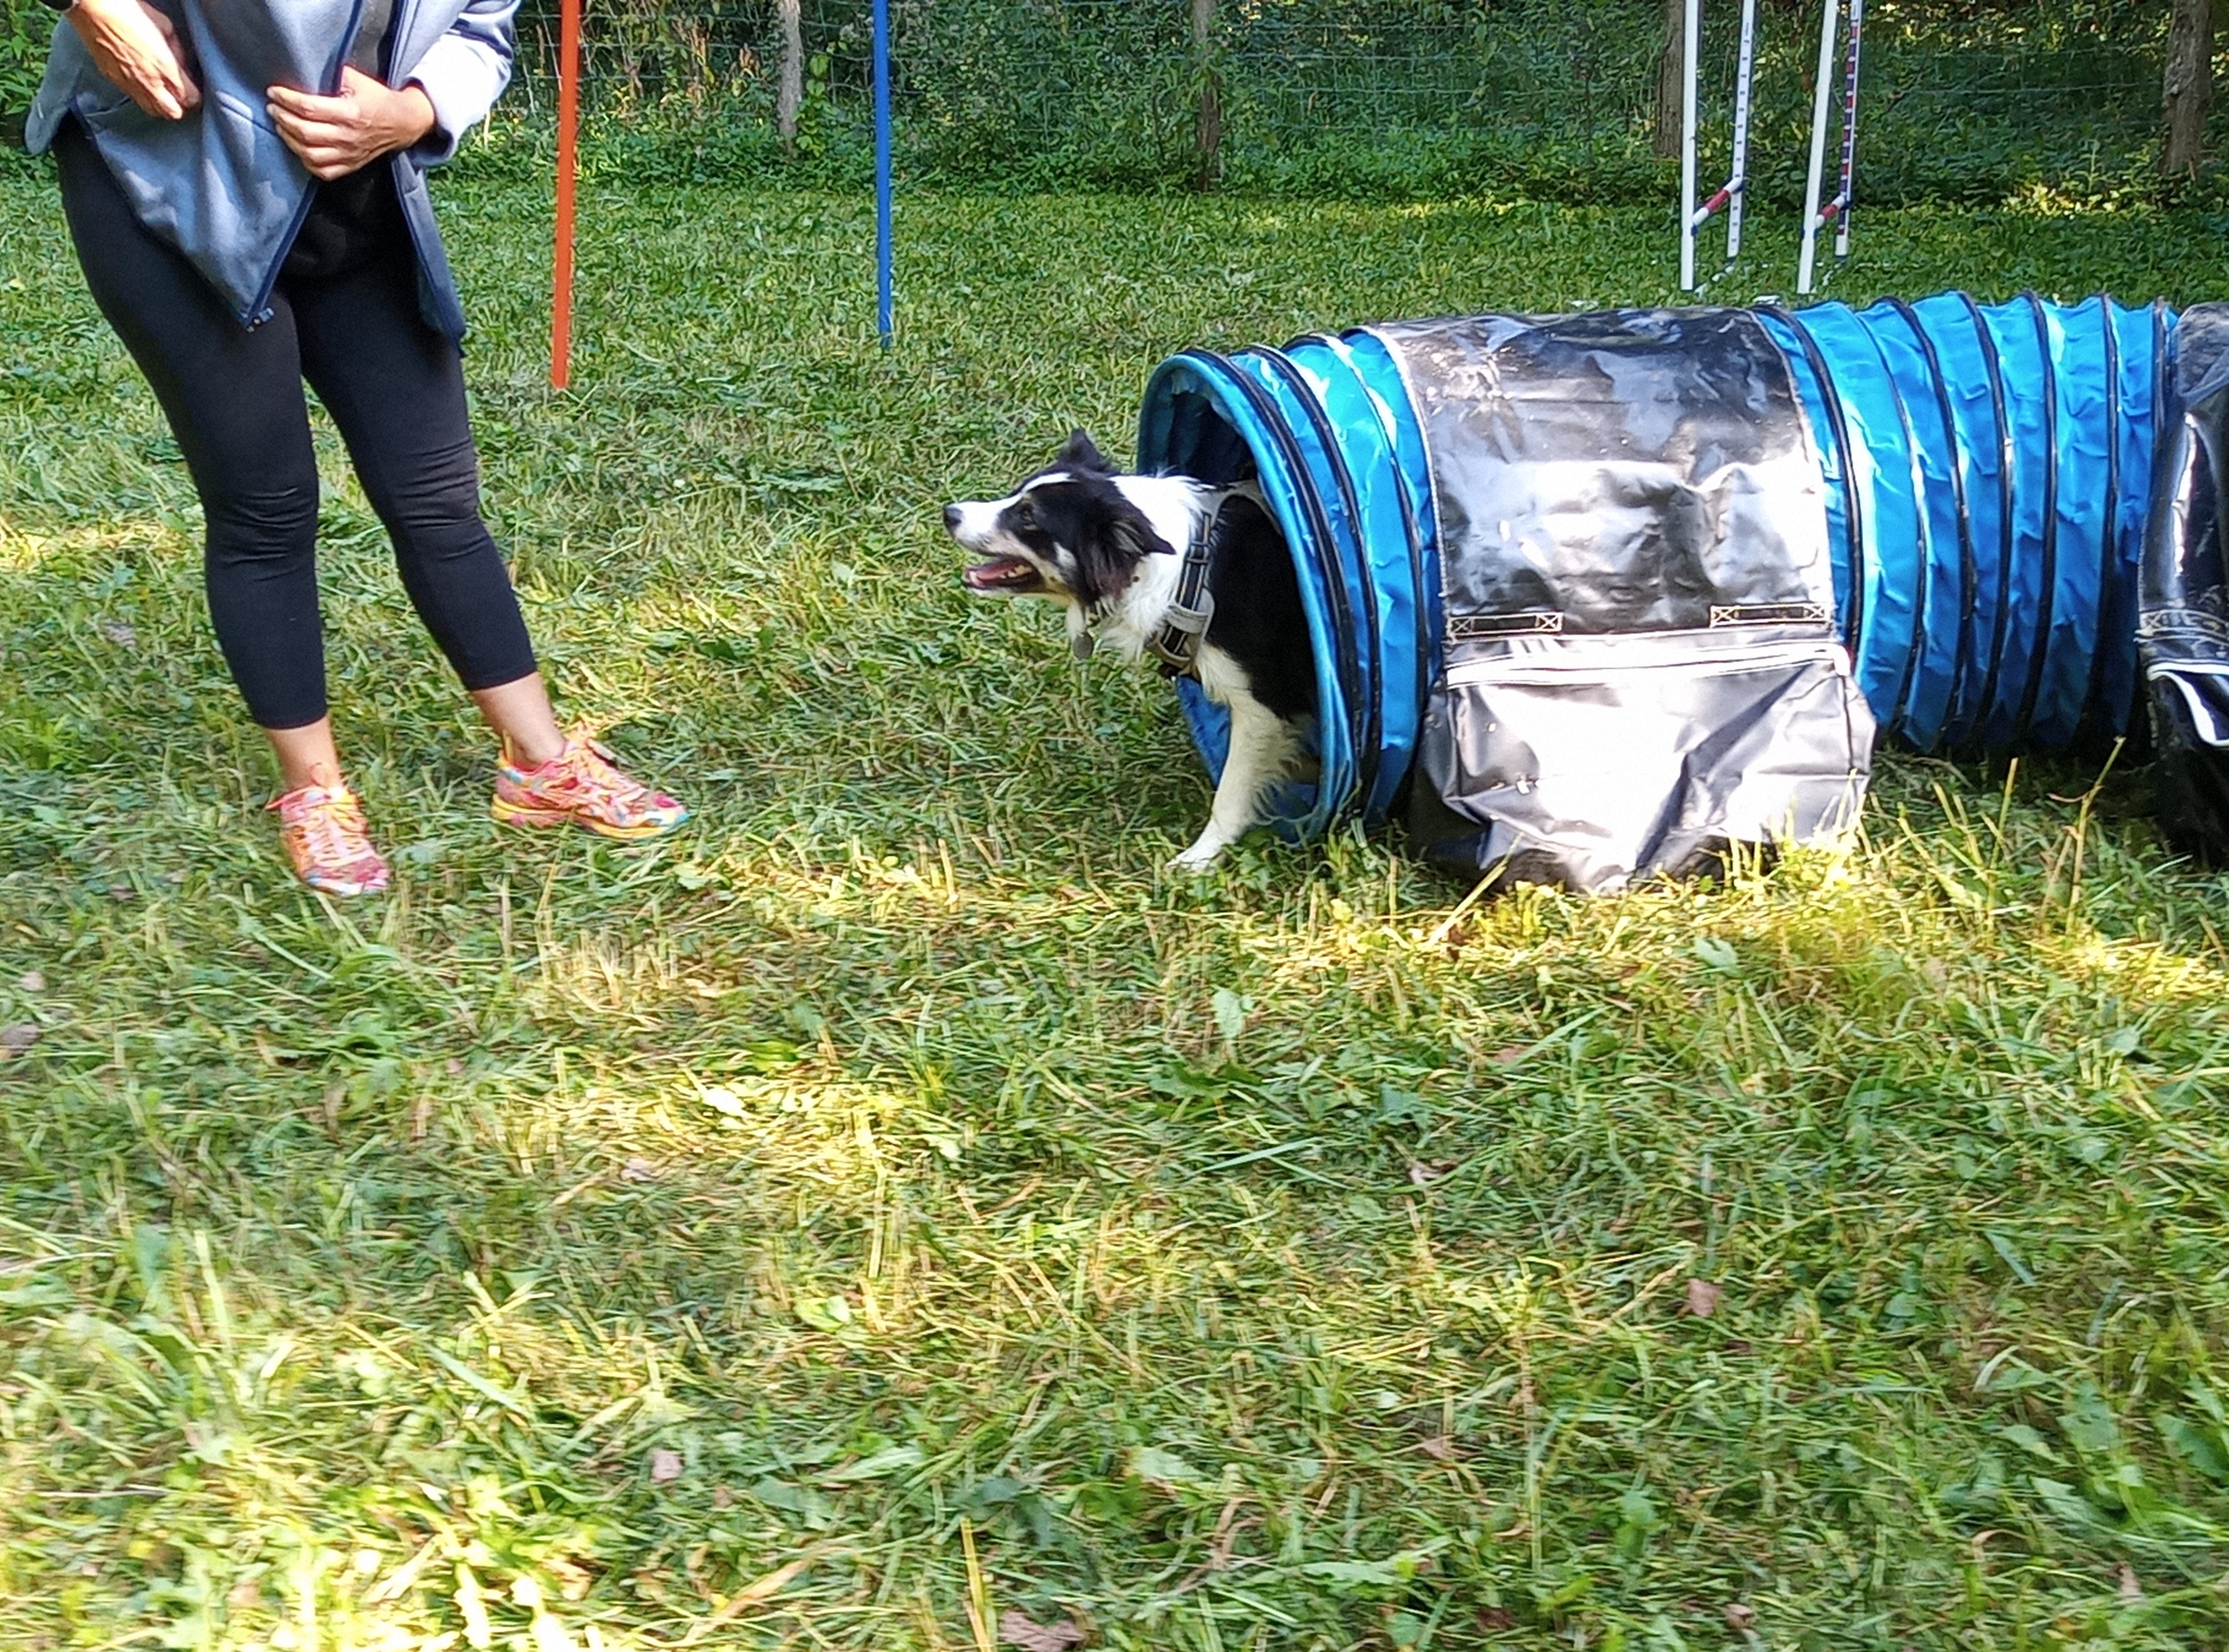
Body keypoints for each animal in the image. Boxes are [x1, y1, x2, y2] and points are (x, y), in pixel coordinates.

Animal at [944, 430, 1317, 869]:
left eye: (1028, 517)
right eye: (1016, 493)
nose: (949, 513)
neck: (1187, 572)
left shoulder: (1262, 706)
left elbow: (1230, 793)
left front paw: (1199, 858)